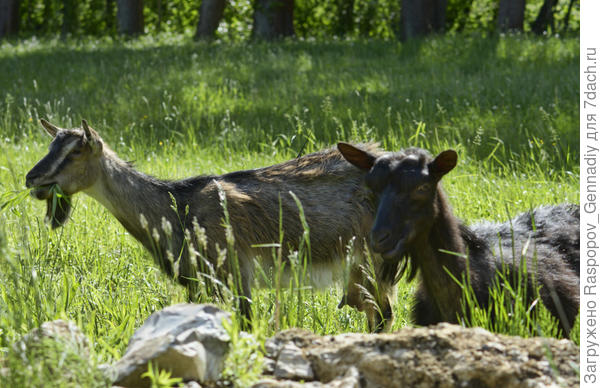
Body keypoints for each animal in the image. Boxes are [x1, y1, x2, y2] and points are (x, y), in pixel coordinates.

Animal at [24, 119, 398, 330]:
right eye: (50, 145)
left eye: (76, 152)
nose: (32, 179)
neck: (176, 206)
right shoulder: (198, 283)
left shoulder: (236, 271)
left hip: (370, 258)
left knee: (382, 315)